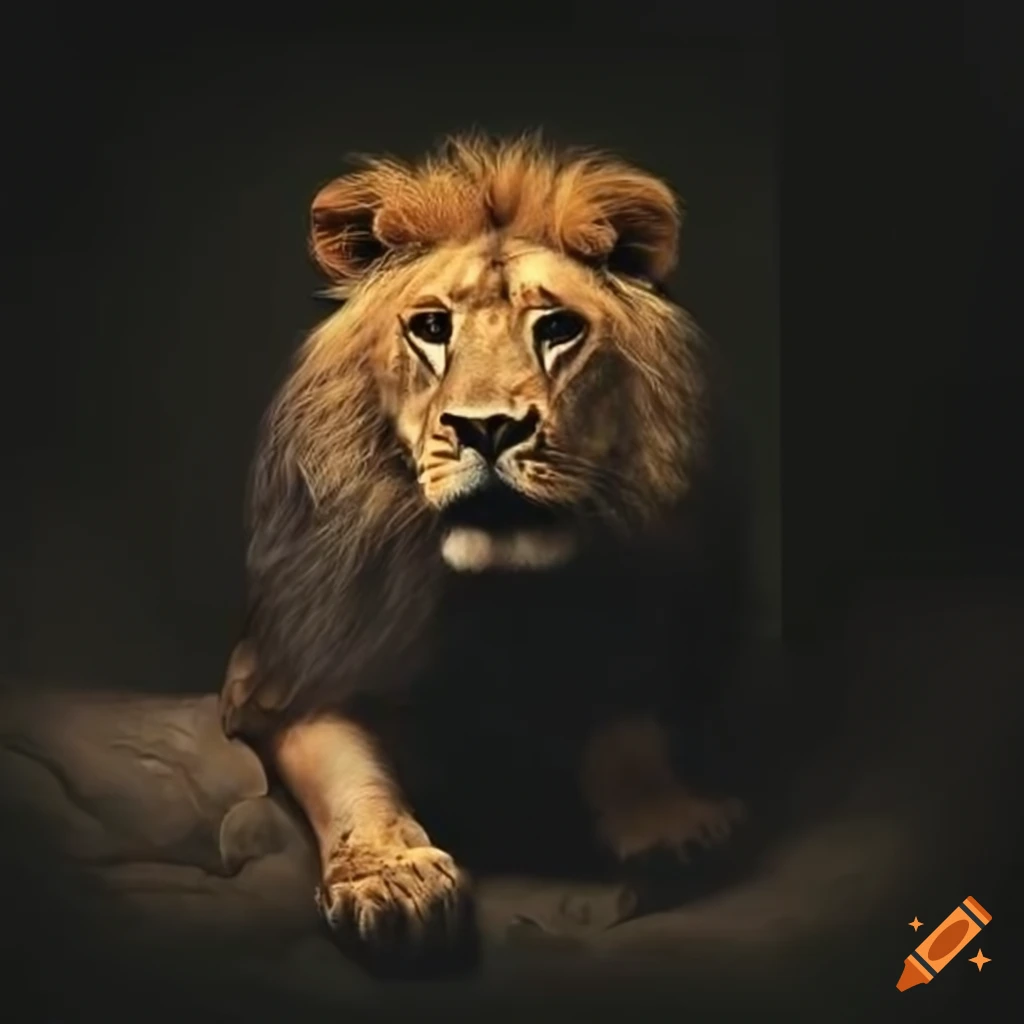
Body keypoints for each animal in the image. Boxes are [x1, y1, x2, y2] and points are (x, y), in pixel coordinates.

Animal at [219, 134, 753, 974]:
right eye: (433, 329)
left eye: (558, 329)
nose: (489, 428)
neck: (497, 599)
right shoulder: (279, 677)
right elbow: (349, 770)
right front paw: (392, 879)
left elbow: (625, 720)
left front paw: (670, 821)